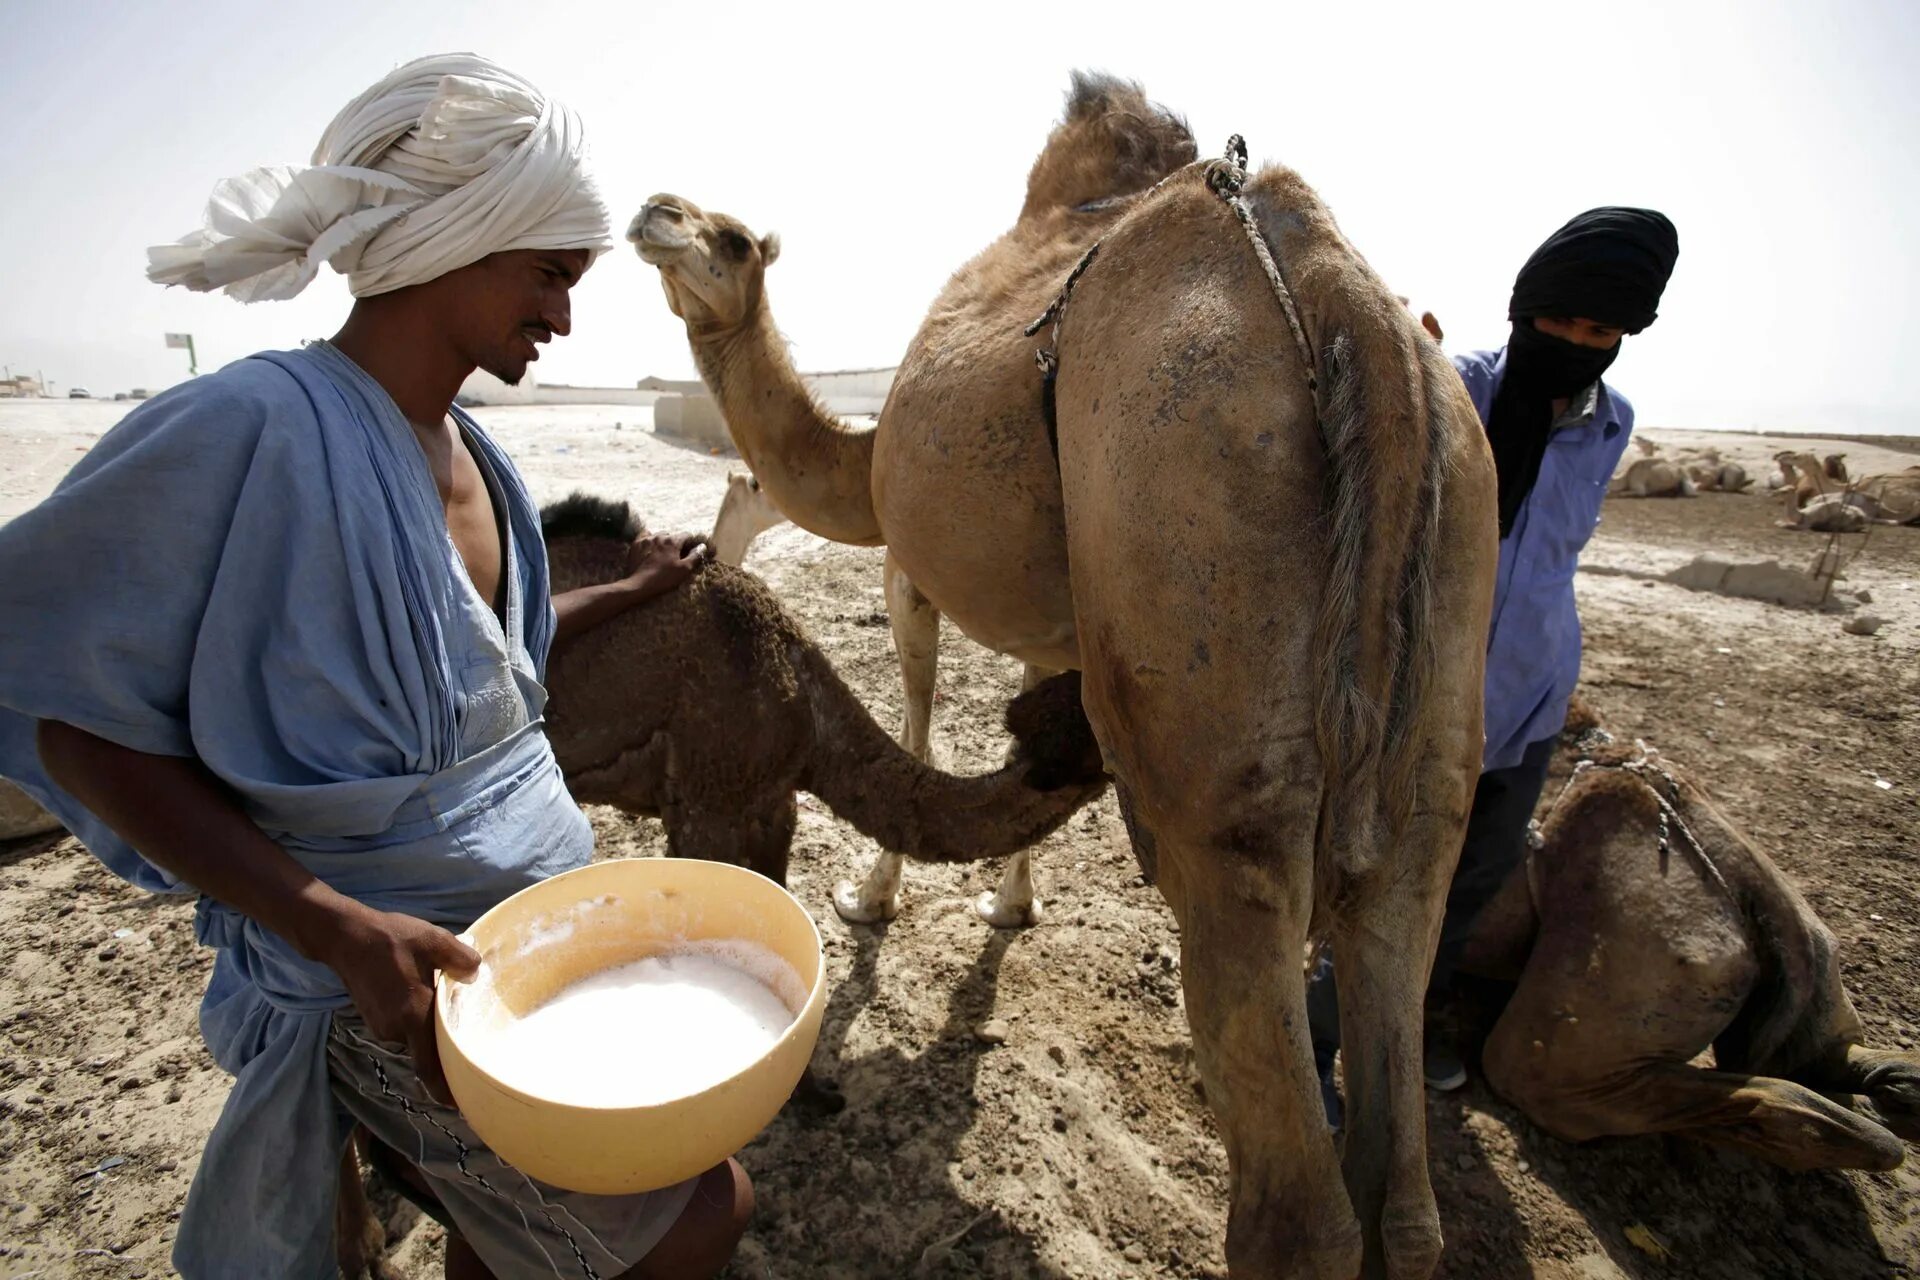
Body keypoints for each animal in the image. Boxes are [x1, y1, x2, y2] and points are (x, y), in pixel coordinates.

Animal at [629, 75, 1497, 1280]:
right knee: (1403, 1116)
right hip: (1452, 579)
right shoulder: (1069, 625)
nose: (656, 209)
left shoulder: (908, 558)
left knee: (1294, 1177)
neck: (859, 456)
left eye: (733, 238)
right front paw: (1011, 903)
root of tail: (1349, 307)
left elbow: (917, 697)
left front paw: (873, 896)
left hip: (1186, 510)